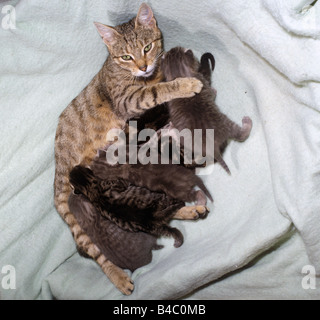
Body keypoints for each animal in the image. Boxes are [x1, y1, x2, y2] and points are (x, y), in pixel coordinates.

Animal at [54, 3, 205, 296]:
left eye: (147, 47)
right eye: (126, 56)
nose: (143, 66)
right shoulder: (129, 100)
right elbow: (159, 90)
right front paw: (184, 83)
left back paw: (190, 210)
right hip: (73, 212)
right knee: (96, 251)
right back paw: (118, 277)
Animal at [161, 46, 254, 174]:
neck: (180, 76)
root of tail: (212, 147)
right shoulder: (203, 82)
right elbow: (211, 93)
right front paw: (214, 91)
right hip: (223, 123)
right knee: (242, 135)